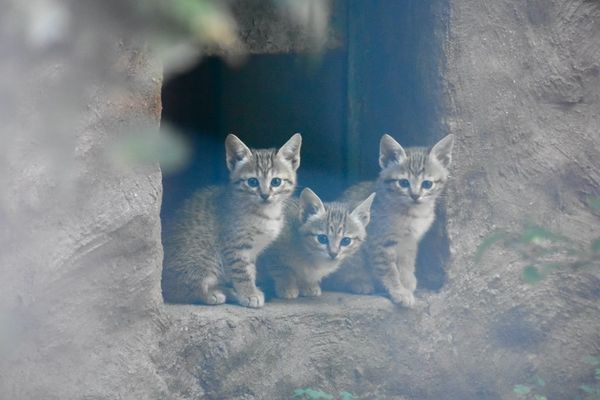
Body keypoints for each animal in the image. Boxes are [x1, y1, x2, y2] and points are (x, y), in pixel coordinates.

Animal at [162, 133, 302, 308]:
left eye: (276, 181)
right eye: (252, 182)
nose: (264, 195)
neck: (266, 213)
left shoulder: (251, 252)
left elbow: (250, 271)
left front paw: (250, 290)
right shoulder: (234, 247)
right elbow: (242, 273)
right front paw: (249, 294)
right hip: (207, 259)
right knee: (180, 291)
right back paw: (212, 294)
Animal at [328, 134, 454, 306]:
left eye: (427, 184)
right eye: (404, 183)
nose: (415, 195)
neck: (414, 213)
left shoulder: (410, 242)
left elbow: (407, 264)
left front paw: (407, 283)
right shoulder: (380, 242)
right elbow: (389, 271)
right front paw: (399, 291)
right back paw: (358, 282)